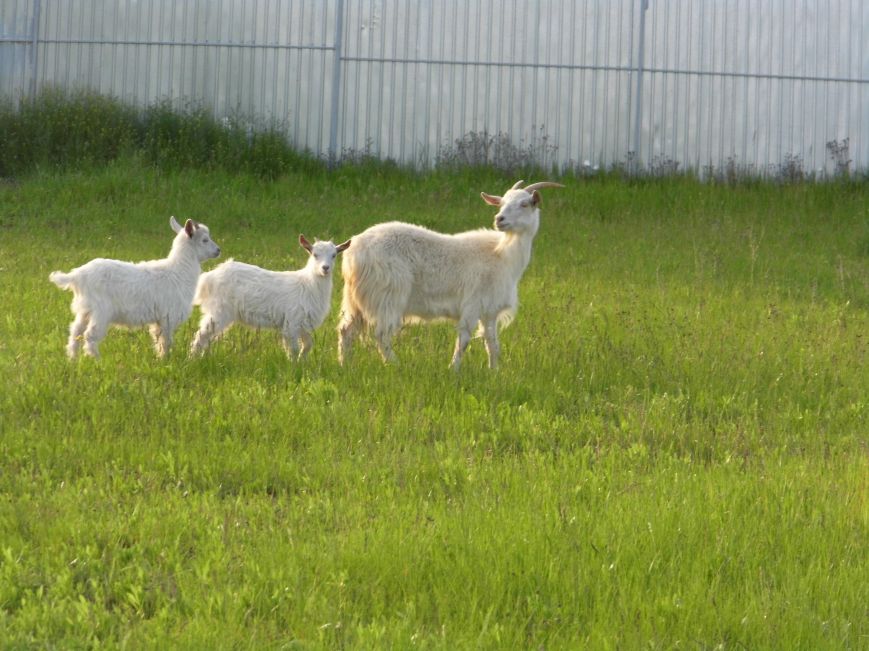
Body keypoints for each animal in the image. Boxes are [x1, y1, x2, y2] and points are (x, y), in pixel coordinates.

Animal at [49, 219, 222, 362]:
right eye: (205, 240)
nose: (218, 250)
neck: (178, 272)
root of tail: (77, 276)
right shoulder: (167, 317)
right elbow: (166, 341)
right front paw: (166, 360)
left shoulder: (159, 319)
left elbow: (159, 340)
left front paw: (160, 358)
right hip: (101, 311)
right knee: (90, 335)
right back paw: (98, 361)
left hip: (85, 310)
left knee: (75, 332)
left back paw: (73, 359)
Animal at [192, 234, 350, 360]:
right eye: (314, 254)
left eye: (334, 255)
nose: (325, 268)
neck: (308, 284)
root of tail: (211, 276)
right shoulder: (291, 322)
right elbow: (293, 349)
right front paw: (293, 366)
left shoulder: (304, 324)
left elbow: (307, 345)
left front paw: (302, 362)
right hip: (220, 310)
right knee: (201, 334)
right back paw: (193, 360)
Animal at [336, 181, 568, 370]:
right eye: (501, 203)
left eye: (525, 204)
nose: (499, 219)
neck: (501, 254)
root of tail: (354, 252)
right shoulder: (472, 303)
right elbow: (464, 340)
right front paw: (453, 370)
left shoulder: (489, 311)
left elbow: (492, 344)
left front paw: (495, 372)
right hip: (388, 295)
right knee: (382, 335)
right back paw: (395, 365)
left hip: (355, 300)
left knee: (347, 331)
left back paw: (345, 364)